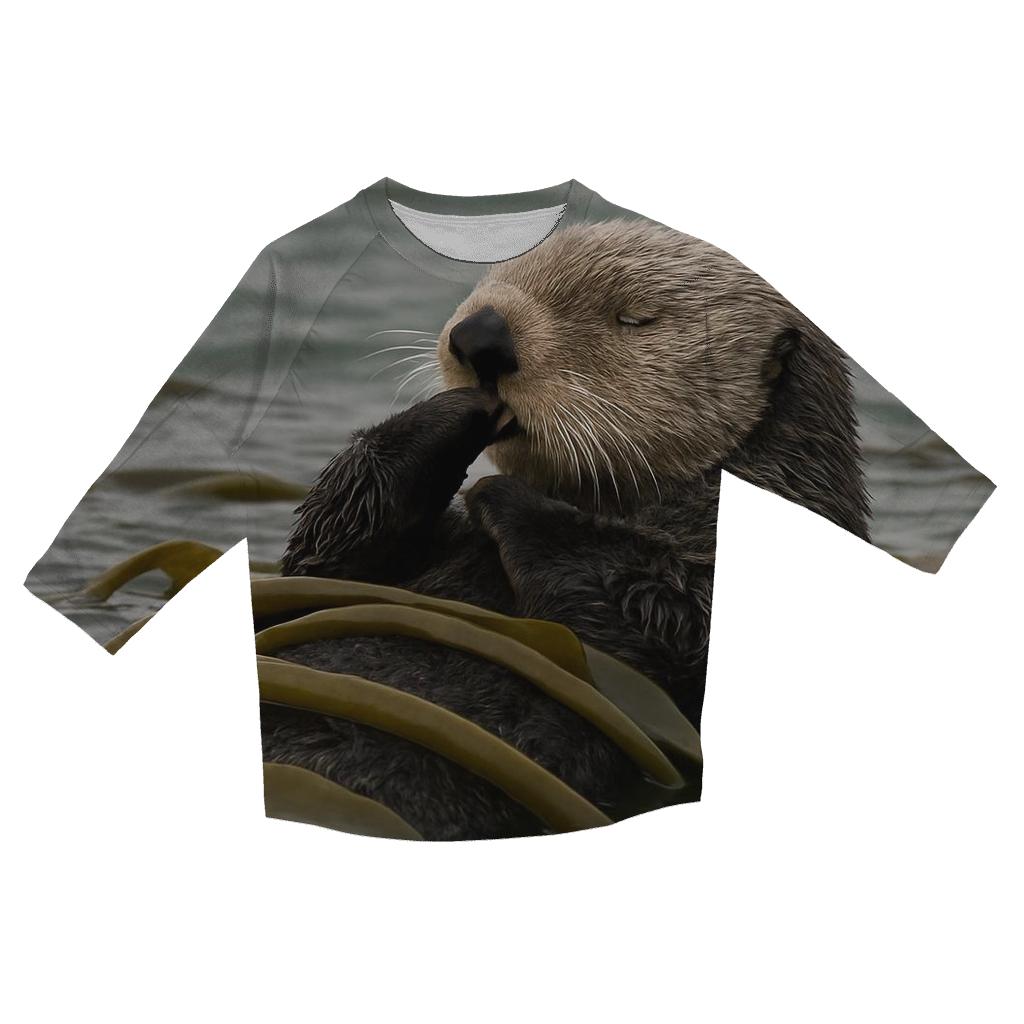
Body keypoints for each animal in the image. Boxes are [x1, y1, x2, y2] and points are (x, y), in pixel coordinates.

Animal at [260, 220, 869, 841]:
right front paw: (455, 413)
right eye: (497, 274)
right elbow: (324, 556)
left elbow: (661, 613)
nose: (481, 336)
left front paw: (501, 494)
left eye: (634, 318)